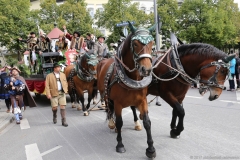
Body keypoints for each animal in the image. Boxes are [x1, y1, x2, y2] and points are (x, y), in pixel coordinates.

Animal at [96, 21, 157, 158]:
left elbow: (147, 122)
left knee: (132, 108)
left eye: (152, 43)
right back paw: (111, 123)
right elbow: (119, 122)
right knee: (108, 107)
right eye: (135, 44)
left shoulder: (142, 100)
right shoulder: (118, 102)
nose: (147, 70)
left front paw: (151, 149)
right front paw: (120, 145)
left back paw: (136, 123)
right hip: (105, 94)